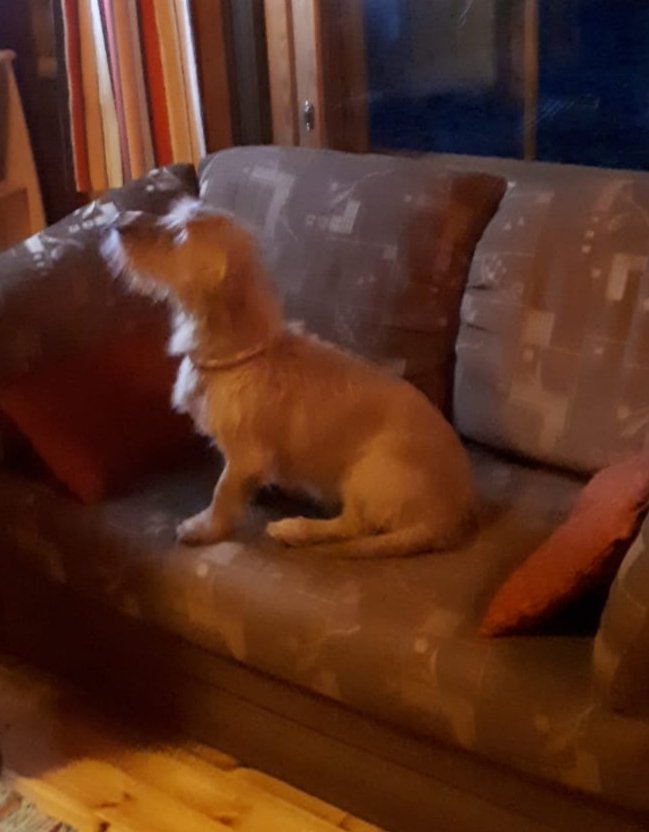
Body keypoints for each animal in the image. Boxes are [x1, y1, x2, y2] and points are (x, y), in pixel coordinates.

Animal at [102, 198, 477, 557]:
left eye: (179, 235)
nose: (118, 220)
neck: (249, 356)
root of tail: (451, 521)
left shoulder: (245, 455)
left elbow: (223, 490)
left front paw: (205, 527)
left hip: (368, 472)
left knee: (353, 526)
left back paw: (296, 529)